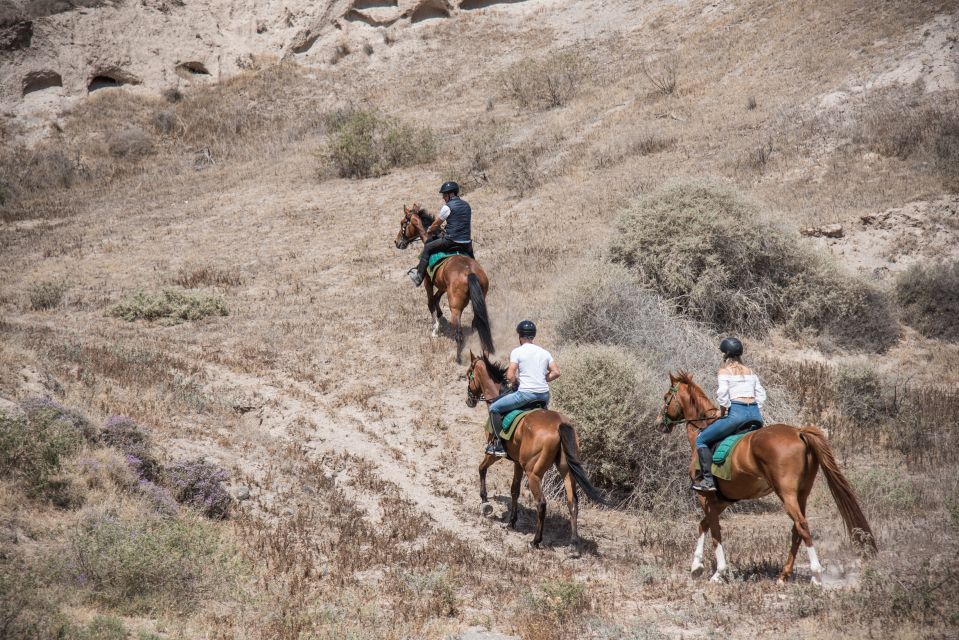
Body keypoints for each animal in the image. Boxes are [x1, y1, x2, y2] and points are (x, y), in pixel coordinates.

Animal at [394, 206, 496, 364]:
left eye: (403, 223)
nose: (397, 242)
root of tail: (470, 272)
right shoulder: (442, 286)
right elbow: (436, 298)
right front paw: (440, 316)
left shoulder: (428, 282)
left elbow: (430, 302)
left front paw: (435, 329)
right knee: (476, 325)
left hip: (455, 308)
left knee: (459, 334)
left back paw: (458, 359)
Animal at [466, 352, 608, 548]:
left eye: (468, 374)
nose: (469, 400)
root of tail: (559, 424)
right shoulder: (517, 463)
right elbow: (514, 490)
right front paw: (512, 521)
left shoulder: (493, 454)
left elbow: (482, 469)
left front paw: (485, 501)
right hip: (566, 470)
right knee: (572, 502)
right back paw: (573, 544)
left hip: (533, 472)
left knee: (541, 503)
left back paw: (536, 540)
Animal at [660, 370, 876, 584]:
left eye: (666, 397)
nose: (659, 423)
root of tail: (799, 432)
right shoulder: (723, 500)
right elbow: (703, 525)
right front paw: (696, 566)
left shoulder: (706, 497)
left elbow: (714, 531)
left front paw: (717, 573)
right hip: (802, 494)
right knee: (796, 530)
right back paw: (784, 574)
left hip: (786, 494)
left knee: (802, 525)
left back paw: (816, 574)